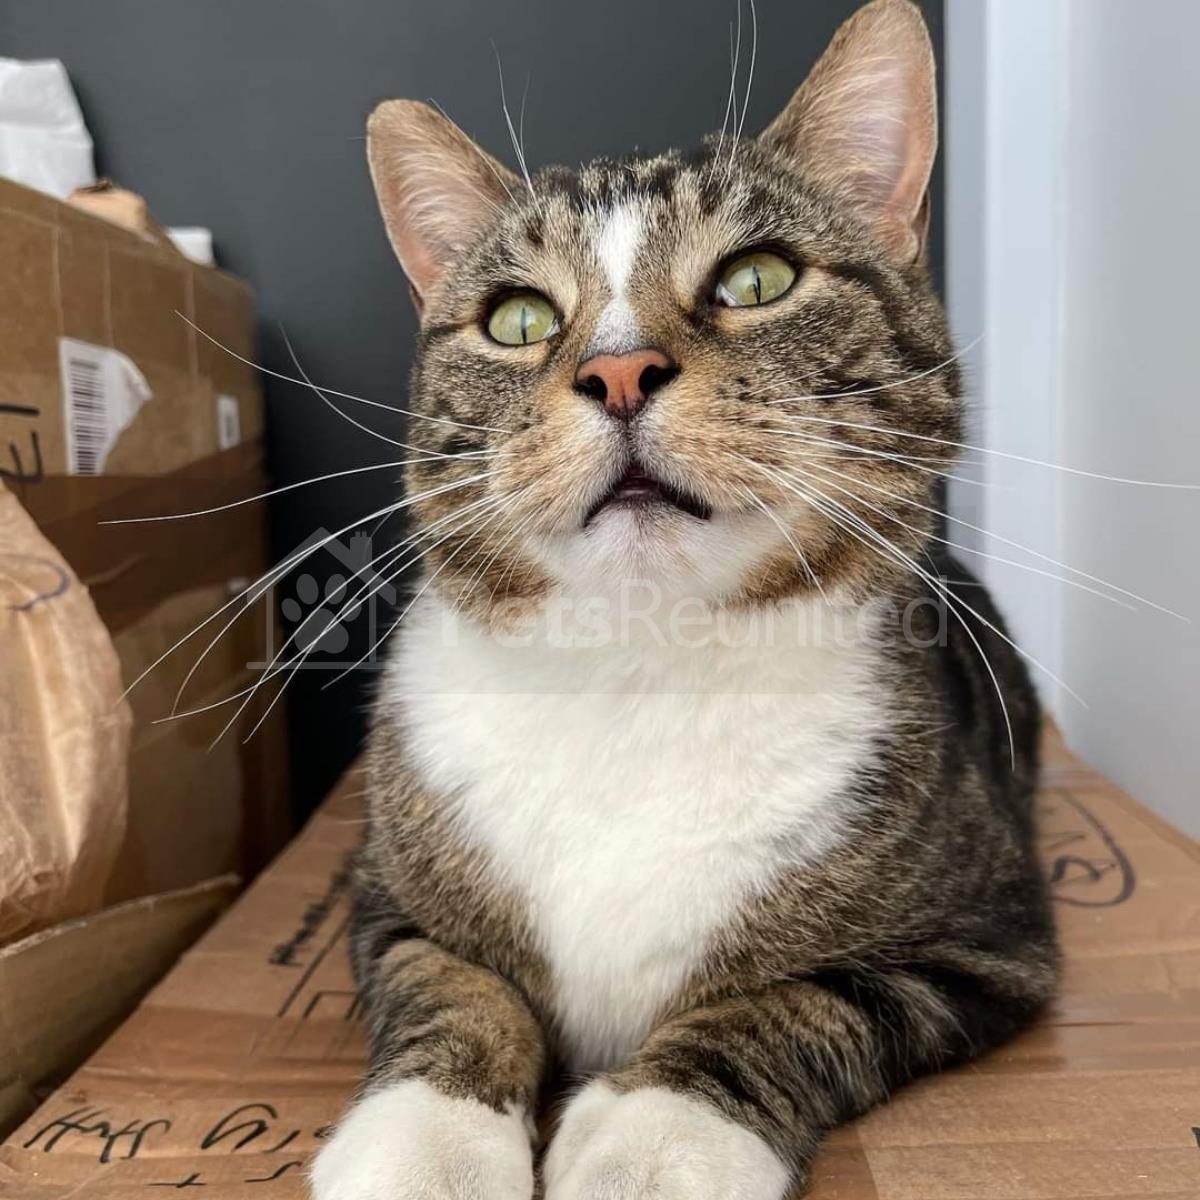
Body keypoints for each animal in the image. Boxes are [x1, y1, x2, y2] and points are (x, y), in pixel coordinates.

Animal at [309, 2, 1058, 1197]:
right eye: (517, 319)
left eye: (757, 279)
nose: (618, 372)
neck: (640, 669)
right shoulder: (380, 885)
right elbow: (452, 981)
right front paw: (426, 1139)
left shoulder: (989, 938)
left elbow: (797, 1002)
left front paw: (657, 1136)